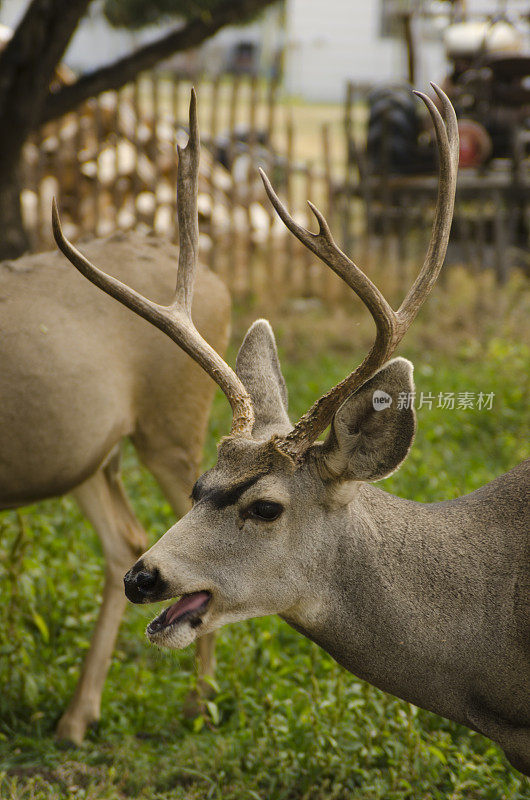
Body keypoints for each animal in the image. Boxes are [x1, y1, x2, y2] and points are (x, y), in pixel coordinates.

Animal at [2, 225, 229, 744]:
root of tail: (219, 283)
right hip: (87, 458)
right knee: (125, 539)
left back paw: (199, 702)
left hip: (171, 428)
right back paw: (78, 715)